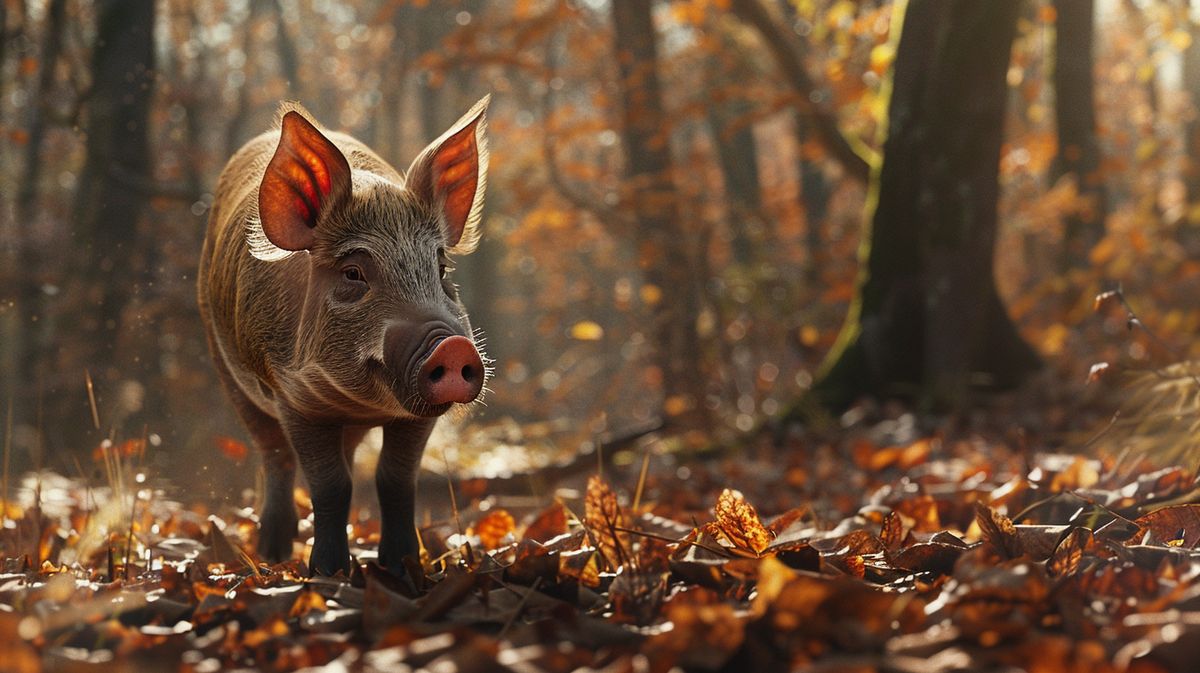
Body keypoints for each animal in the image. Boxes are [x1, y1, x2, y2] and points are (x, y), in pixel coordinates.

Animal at [199, 97, 489, 575]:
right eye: (353, 273)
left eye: (441, 268)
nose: (452, 345)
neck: (359, 404)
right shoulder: (294, 400)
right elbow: (329, 486)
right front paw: (328, 573)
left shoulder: (415, 418)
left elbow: (394, 480)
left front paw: (401, 567)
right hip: (229, 376)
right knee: (275, 456)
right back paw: (273, 553)